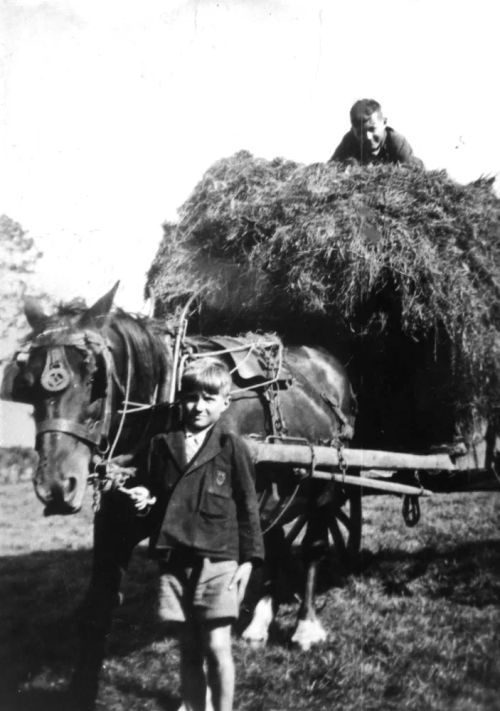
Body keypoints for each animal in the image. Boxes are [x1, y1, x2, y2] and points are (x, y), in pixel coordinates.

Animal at [5, 286, 362, 711]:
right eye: (28, 383)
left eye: (96, 379)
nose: (57, 487)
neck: (165, 405)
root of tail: (327, 360)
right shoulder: (115, 521)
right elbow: (99, 606)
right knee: (273, 545)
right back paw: (259, 623)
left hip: (324, 482)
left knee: (313, 546)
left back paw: (305, 625)